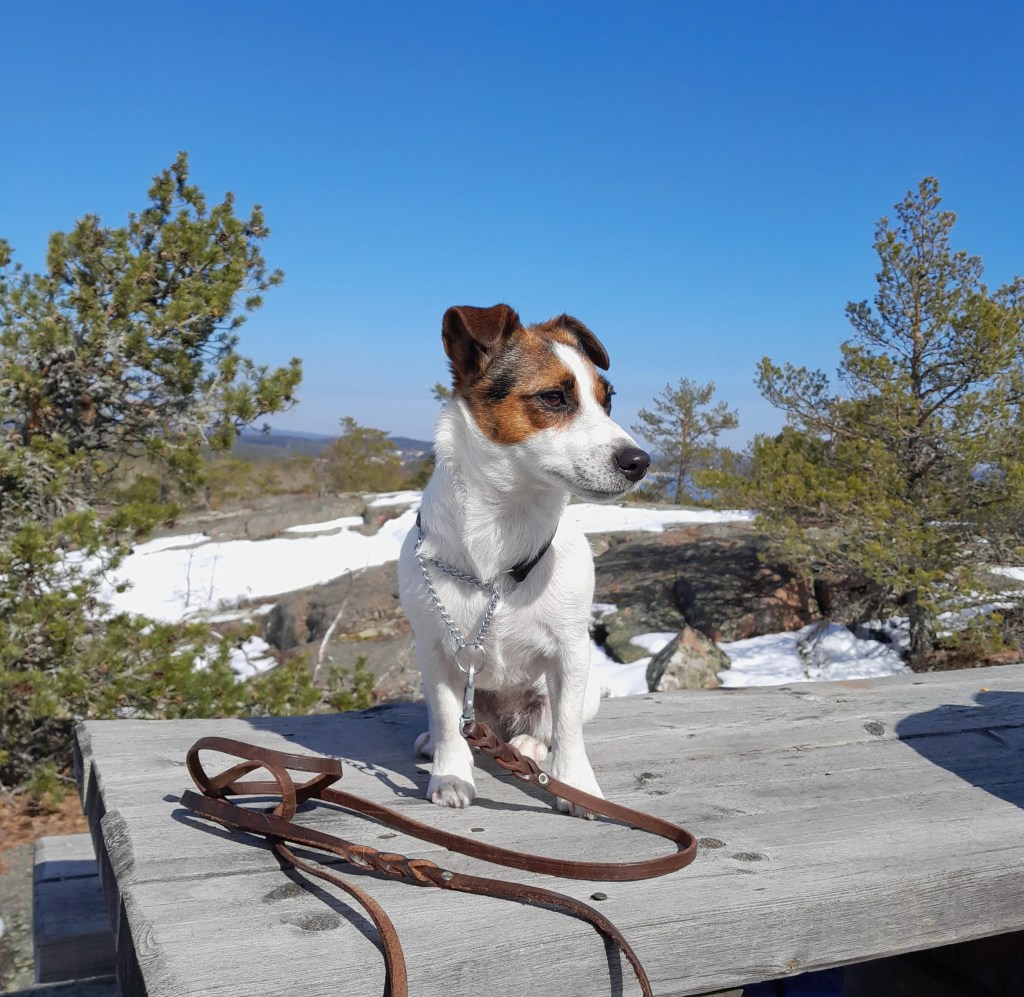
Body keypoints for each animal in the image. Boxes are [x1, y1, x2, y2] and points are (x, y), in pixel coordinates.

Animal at [397, 304, 650, 815]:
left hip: (583, 690)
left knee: (547, 724)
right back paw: (438, 742)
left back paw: (530, 746)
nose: (640, 461)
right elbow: (449, 717)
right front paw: (451, 773)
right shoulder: (435, 653)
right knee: (455, 722)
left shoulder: (571, 654)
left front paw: (577, 785)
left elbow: (568, 729)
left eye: (607, 400)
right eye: (553, 397)